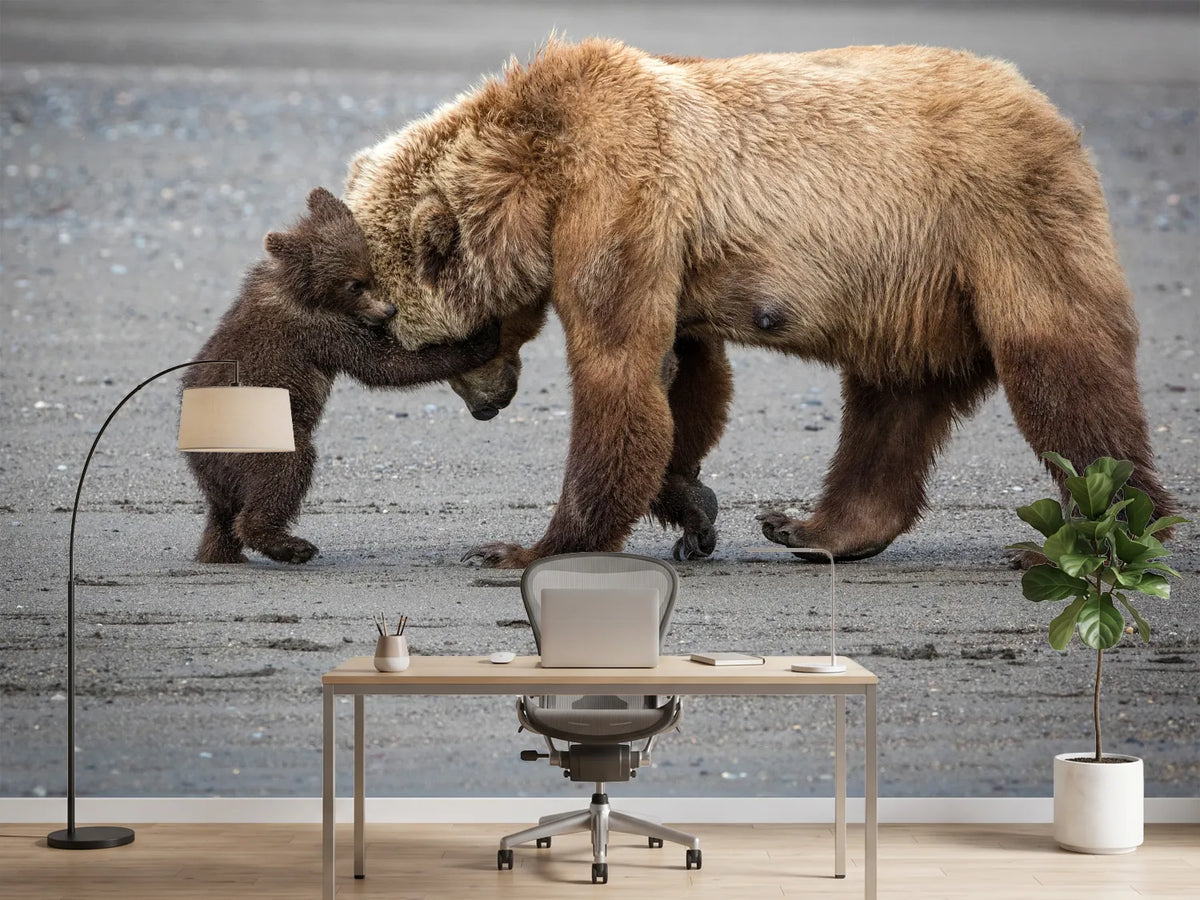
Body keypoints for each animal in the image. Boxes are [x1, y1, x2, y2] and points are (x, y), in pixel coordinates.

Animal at [183, 187, 499, 564]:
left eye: (370, 272)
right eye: (354, 284)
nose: (388, 310)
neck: (301, 290)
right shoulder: (319, 329)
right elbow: (384, 365)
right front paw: (481, 338)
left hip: (219, 474)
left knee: (222, 515)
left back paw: (220, 552)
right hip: (258, 436)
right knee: (285, 469)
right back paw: (290, 545)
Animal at [342, 38, 1175, 568]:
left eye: (423, 340)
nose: (488, 406)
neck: (535, 175)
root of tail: (1047, 108)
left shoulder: (619, 198)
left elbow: (619, 371)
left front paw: (523, 547)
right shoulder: (666, 247)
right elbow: (684, 377)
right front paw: (693, 508)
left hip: (999, 220)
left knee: (1059, 368)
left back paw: (1109, 530)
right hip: (912, 288)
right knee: (892, 400)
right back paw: (815, 528)